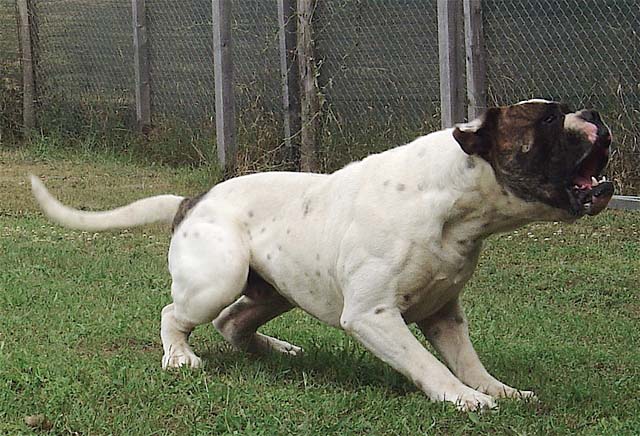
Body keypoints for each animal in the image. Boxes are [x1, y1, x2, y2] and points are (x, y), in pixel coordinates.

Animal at [31, 100, 616, 410]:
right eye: (547, 121)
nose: (594, 112)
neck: (455, 200)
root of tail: (191, 199)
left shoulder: (445, 314)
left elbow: (468, 360)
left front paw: (499, 390)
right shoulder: (374, 315)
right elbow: (426, 363)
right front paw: (462, 400)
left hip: (277, 291)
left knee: (233, 322)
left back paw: (277, 350)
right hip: (219, 278)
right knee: (175, 314)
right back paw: (179, 357)